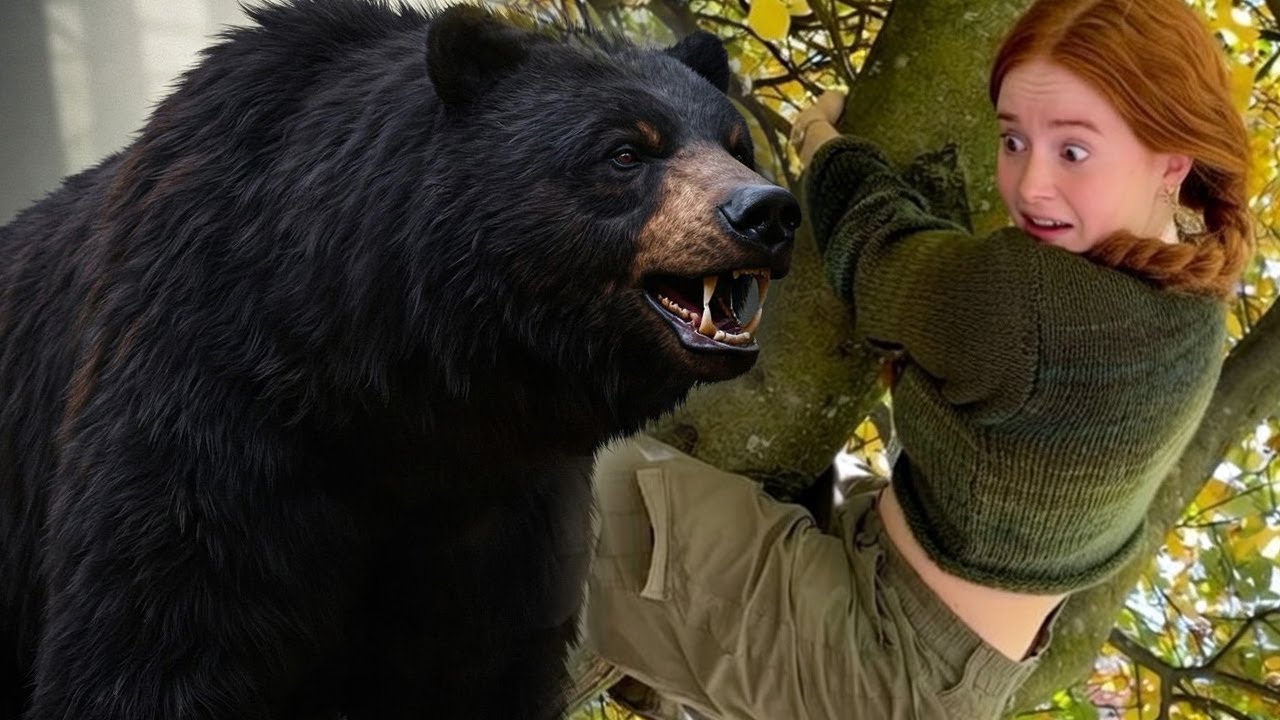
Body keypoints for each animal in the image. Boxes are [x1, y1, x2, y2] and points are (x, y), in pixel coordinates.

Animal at [0, 1, 797, 719]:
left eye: (735, 144)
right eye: (627, 150)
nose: (766, 213)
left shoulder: (497, 516)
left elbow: (478, 667)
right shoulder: (203, 397)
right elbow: (156, 630)